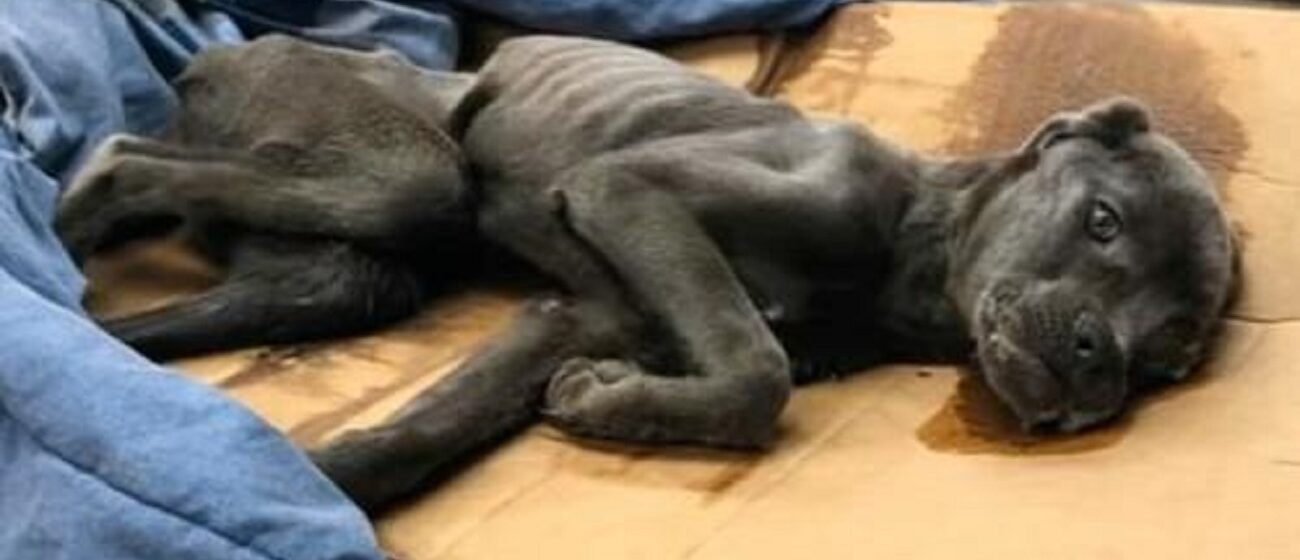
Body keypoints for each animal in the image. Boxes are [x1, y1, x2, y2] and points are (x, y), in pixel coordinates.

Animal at [56, 35, 1237, 512]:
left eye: (1167, 357)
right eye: (1101, 221)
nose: (1096, 365)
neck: (904, 249)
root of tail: (216, 55)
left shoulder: (579, 311)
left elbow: (424, 429)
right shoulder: (629, 193)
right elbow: (756, 369)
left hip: (343, 268)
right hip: (406, 171)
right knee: (126, 157)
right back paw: (70, 204)